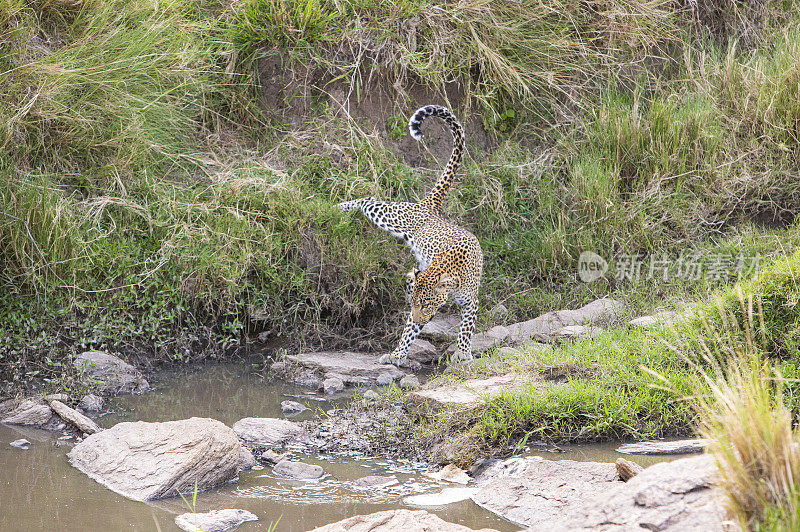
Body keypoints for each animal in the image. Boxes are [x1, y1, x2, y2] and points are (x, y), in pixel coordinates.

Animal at [338, 106, 482, 368]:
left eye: (425, 303)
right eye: (417, 305)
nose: (419, 317)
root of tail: (430, 205)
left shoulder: (470, 301)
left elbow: (466, 327)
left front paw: (463, 353)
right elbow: (409, 332)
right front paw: (397, 354)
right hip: (391, 216)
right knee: (368, 199)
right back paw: (337, 207)